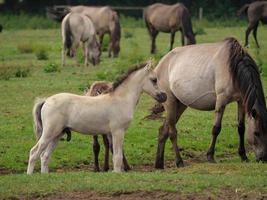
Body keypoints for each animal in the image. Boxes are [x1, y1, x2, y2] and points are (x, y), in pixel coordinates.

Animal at [26, 60, 166, 174]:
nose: (164, 96)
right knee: (34, 153)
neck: (120, 99)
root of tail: (46, 101)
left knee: (44, 156)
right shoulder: (117, 131)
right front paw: (117, 173)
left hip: (57, 135)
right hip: (49, 133)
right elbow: (117, 156)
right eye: (154, 79)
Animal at [154, 36, 267, 168]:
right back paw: (179, 161)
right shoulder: (221, 100)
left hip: (180, 105)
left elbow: (241, 128)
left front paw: (243, 156)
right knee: (172, 132)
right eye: (256, 133)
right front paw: (210, 156)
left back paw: (159, 164)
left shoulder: (241, 101)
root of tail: (161, 63)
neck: (233, 67)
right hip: (170, 103)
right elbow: (216, 128)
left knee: (163, 130)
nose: (263, 159)